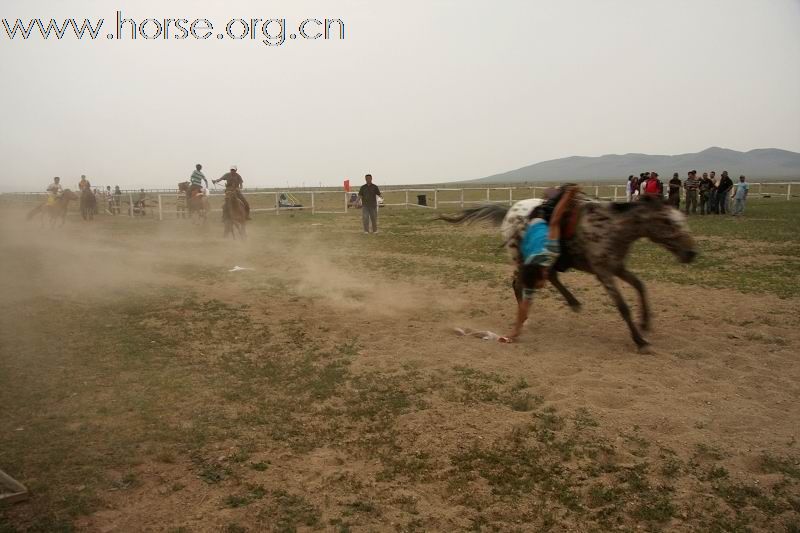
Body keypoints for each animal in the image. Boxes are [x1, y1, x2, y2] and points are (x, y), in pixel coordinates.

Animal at [440, 190, 696, 350]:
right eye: (668, 222)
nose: (691, 253)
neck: (613, 226)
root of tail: (511, 210)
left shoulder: (616, 267)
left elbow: (640, 285)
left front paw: (645, 323)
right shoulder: (603, 272)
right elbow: (622, 306)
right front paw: (640, 341)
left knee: (548, 277)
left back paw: (572, 302)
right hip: (521, 258)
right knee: (519, 282)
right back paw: (528, 314)